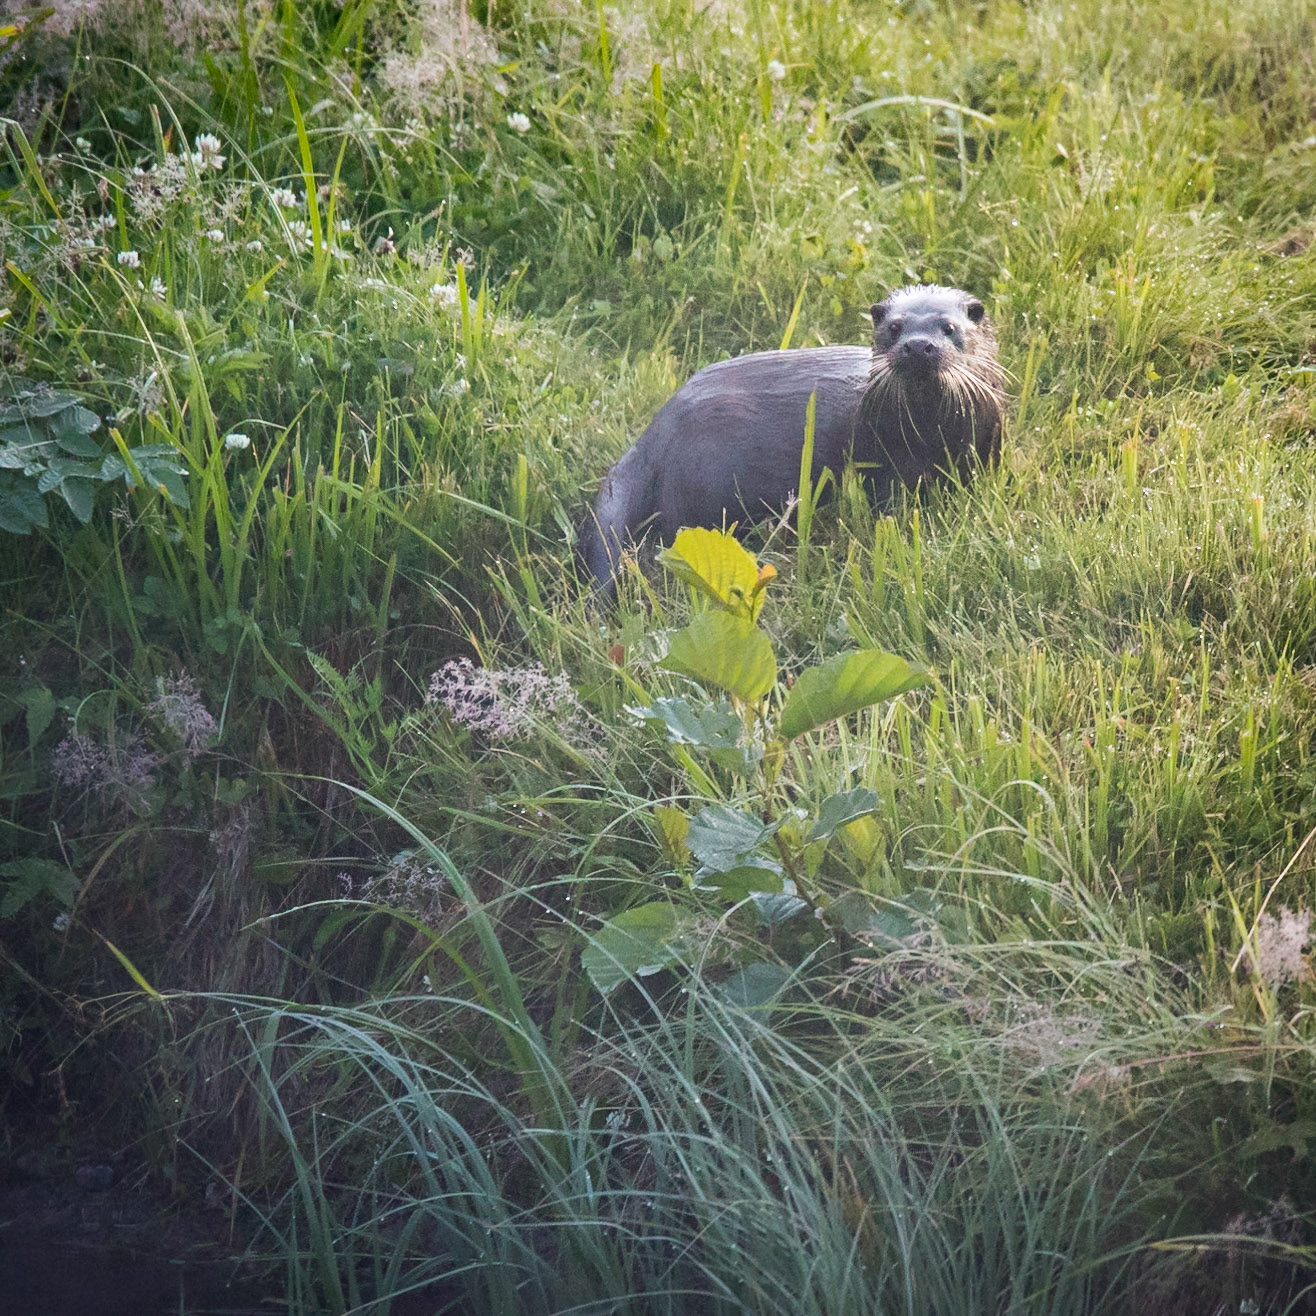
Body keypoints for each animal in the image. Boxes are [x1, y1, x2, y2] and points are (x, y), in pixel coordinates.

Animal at [580, 284, 1006, 595]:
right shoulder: (888, 462)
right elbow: (890, 503)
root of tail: (658, 429)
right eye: (894, 329)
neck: (933, 435)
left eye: (949, 328)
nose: (917, 345)